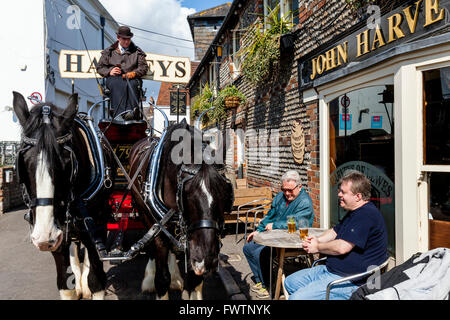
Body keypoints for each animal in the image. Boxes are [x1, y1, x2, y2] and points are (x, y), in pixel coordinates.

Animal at [12, 92, 114, 300]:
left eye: (67, 162)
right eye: (23, 162)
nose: (45, 235)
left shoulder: (97, 228)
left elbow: (96, 281)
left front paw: (88, 282)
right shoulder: (58, 241)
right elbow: (65, 285)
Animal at [126, 120, 232, 300]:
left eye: (225, 192)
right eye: (186, 192)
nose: (208, 261)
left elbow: (194, 280)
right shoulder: (159, 229)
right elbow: (162, 279)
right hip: (144, 213)